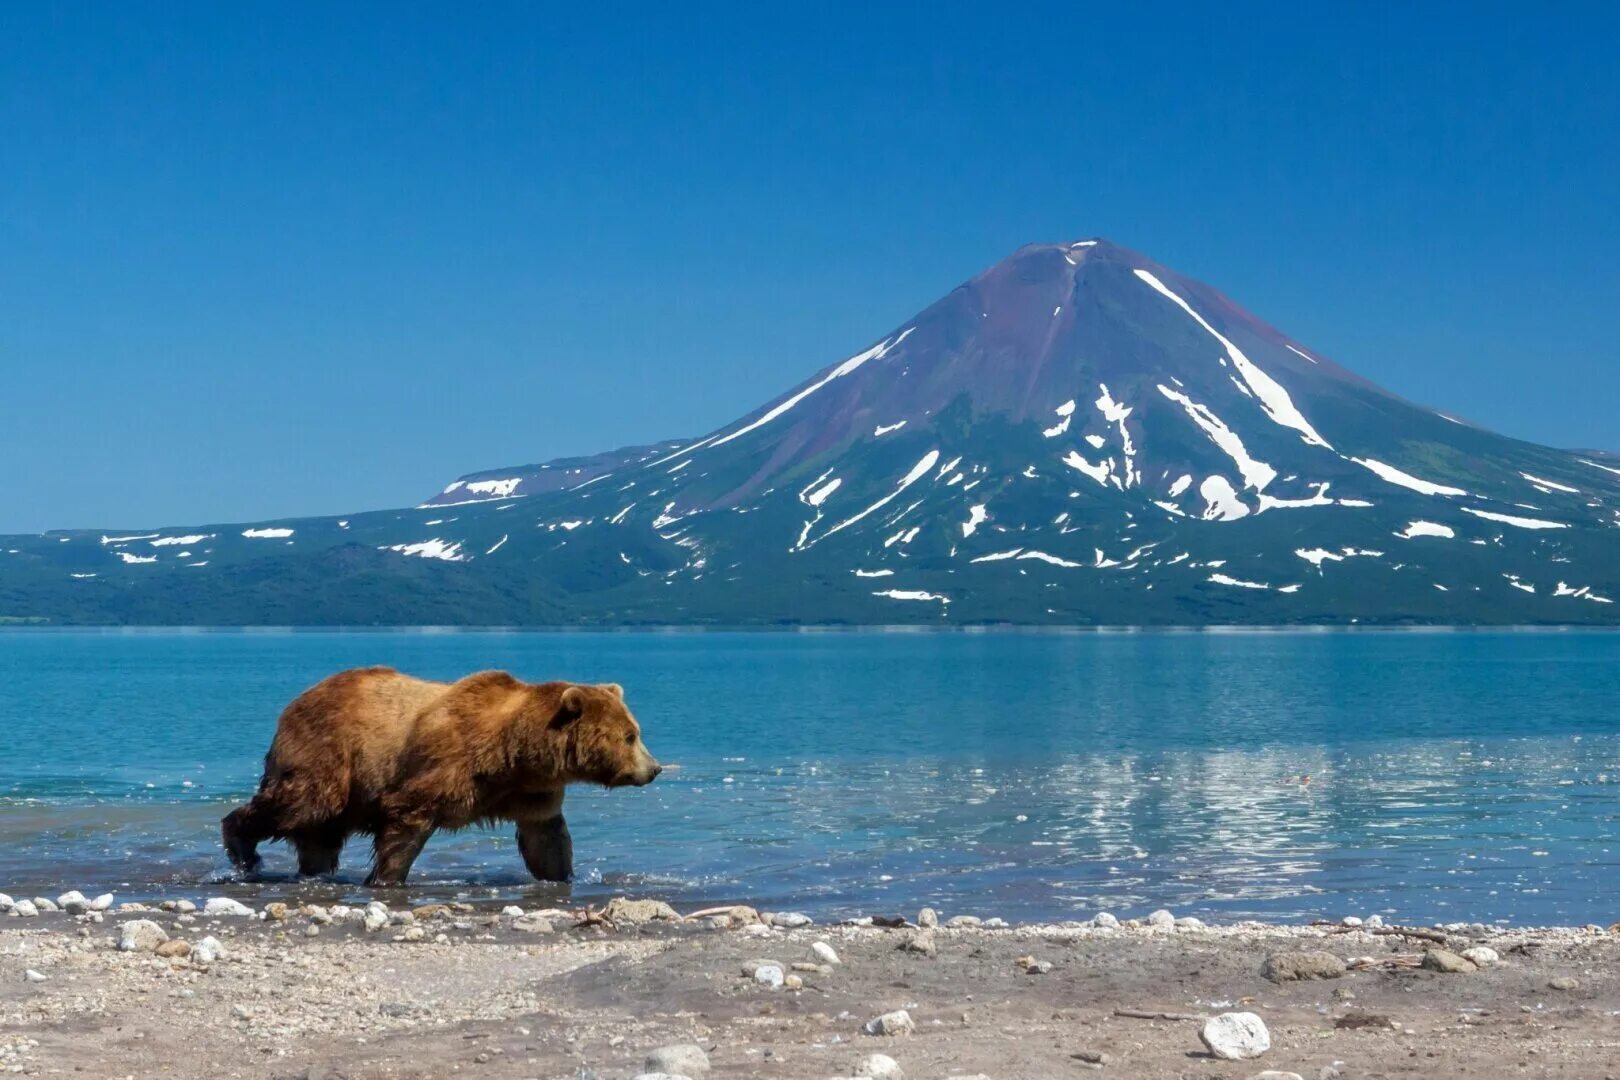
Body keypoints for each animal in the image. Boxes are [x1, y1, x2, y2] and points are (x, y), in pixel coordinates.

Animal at [218, 667, 660, 887]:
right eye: (630, 735)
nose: (654, 769)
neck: (514, 754)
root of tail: (295, 702)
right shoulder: (444, 765)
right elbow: (406, 822)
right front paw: (386, 879)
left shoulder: (532, 794)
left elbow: (547, 840)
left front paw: (563, 876)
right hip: (329, 755)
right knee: (299, 803)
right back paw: (242, 848)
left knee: (318, 836)